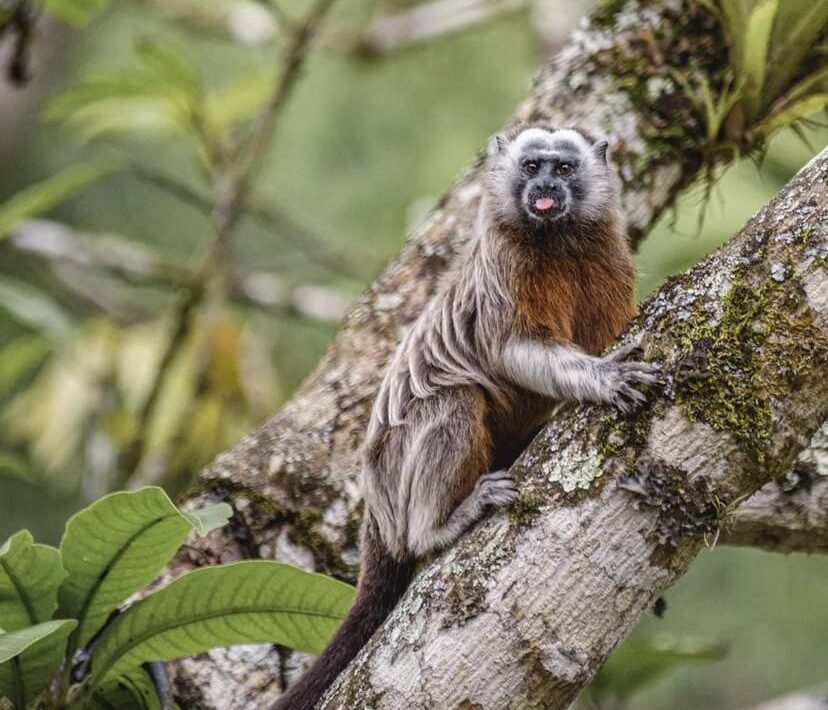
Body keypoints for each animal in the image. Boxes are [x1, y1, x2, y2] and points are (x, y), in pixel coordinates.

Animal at [274, 125, 656, 708]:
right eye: (532, 168)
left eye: (564, 169)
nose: (544, 188)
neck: (557, 243)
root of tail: (374, 509)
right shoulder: (505, 265)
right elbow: (511, 350)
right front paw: (603, 379)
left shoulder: (609, 259)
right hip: (395, 475)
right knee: (453, 403)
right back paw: (438, 529)